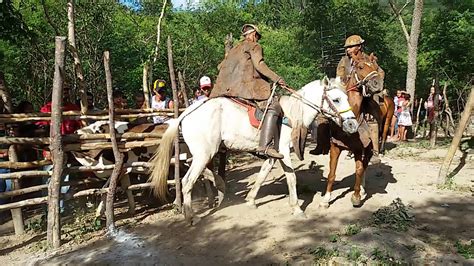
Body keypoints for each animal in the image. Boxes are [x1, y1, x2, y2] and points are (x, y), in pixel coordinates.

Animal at [150, 77, 358, 224]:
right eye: (336, 99)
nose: (352, 125)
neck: (292, 114)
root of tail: (185, 113)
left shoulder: (272, 154)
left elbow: (263, 174)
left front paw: (250, 200)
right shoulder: (283, 151)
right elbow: (291, 178)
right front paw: (297, 208)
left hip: (200, 153)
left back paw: (220, 186)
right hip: (204, 154)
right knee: (187, 181)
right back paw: (191, 216)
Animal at [320, 53, 386, 208]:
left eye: (375, 67)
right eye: (361, 67)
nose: (377, 84)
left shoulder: (358, 149)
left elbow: (359, 170)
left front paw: (356, 196)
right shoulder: (335, 147)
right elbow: (332, 173)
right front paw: (326, 199)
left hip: (369, 149)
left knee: (365, 167)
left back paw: (362, 189)